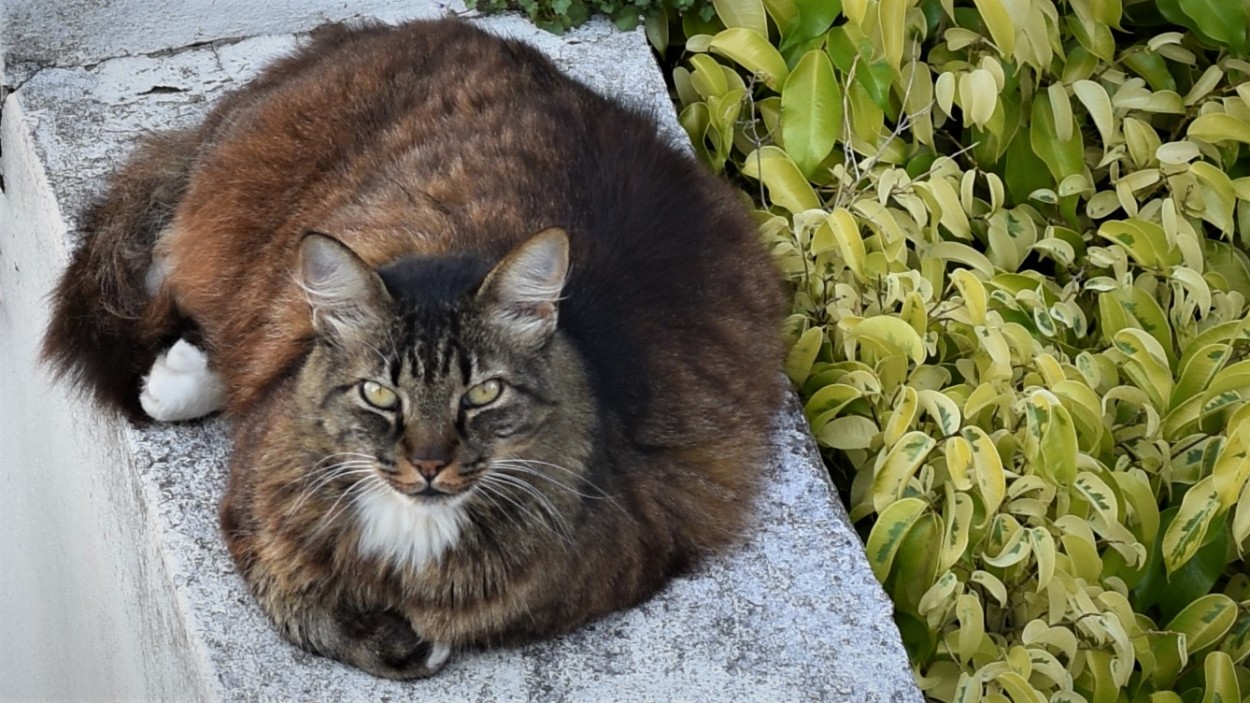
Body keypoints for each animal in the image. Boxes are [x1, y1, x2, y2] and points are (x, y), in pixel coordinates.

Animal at [44, 17, 785, 680]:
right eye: (380, 393)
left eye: (483, 393)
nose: (428, 462)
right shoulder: (251, 512)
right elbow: (302, 607)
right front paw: (393, 638)